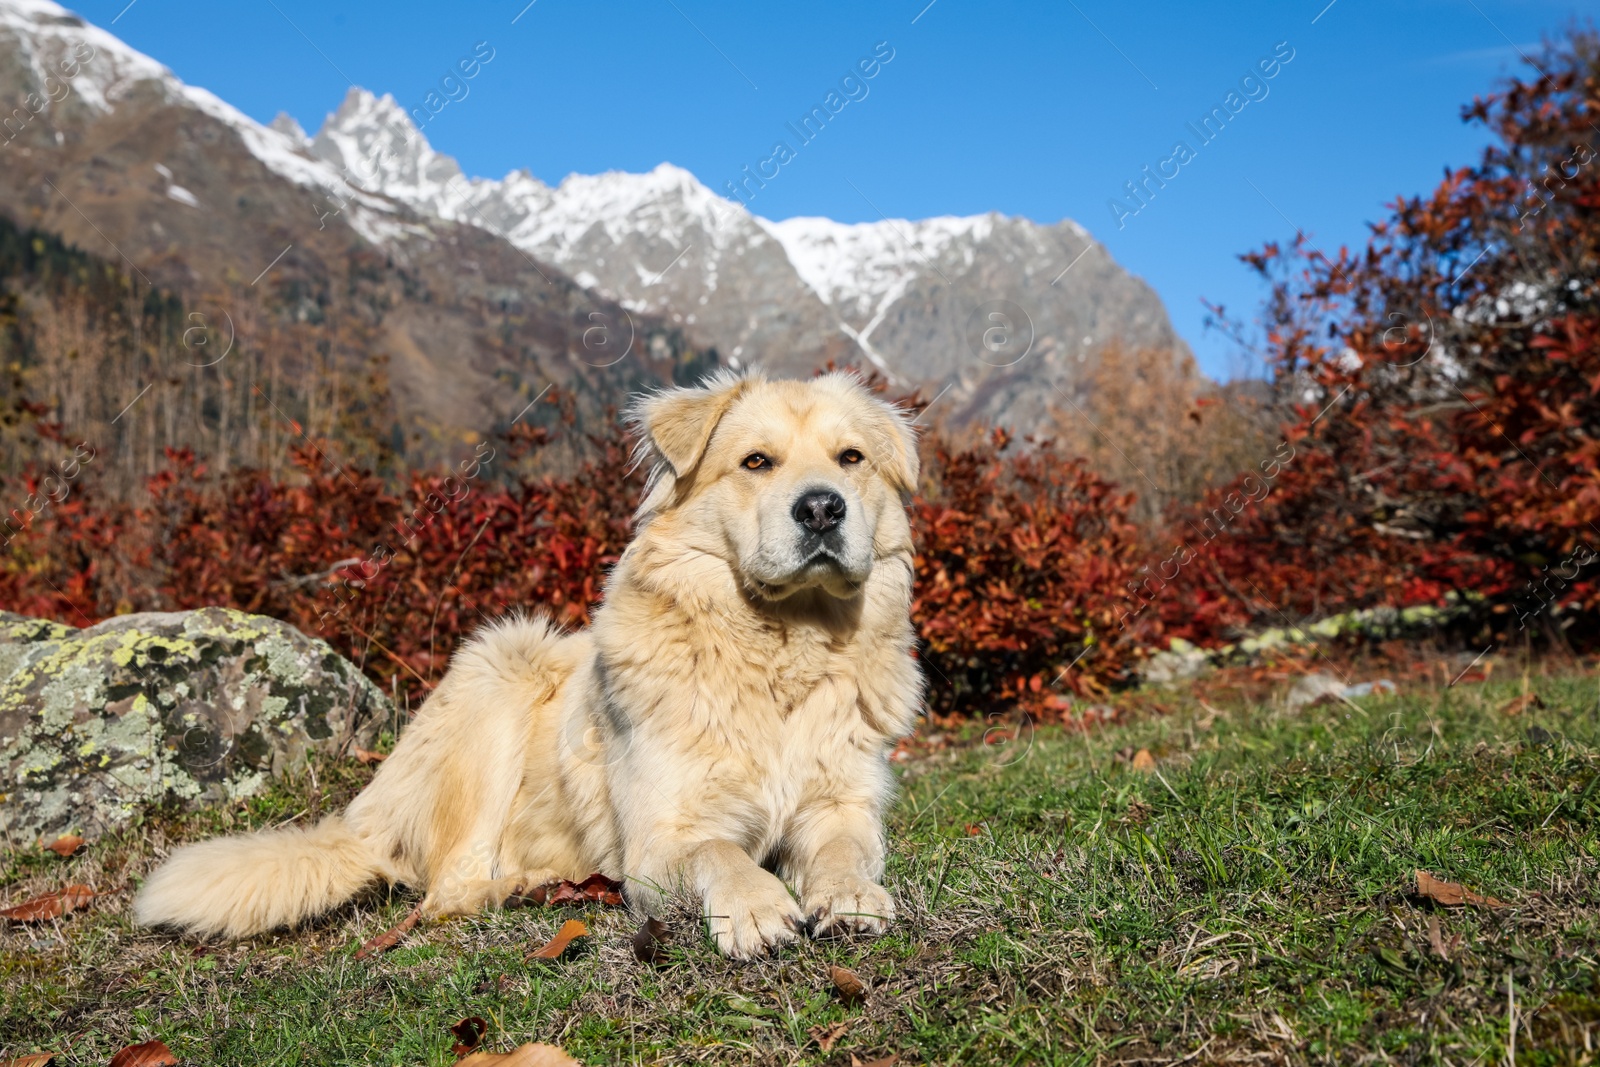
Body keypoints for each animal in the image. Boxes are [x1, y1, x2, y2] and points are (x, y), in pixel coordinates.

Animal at [137, 374, 928, 959]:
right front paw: (757, 909)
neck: (780, 649)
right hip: (503, 668)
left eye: (851, 458)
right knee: (445, 892)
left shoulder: (841, 804)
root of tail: (368, 812)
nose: (822, 509)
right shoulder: (660, 839)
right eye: (757, 462)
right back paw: (527, 886)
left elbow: (844, 851)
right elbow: (720, 854)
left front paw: (850, 897)